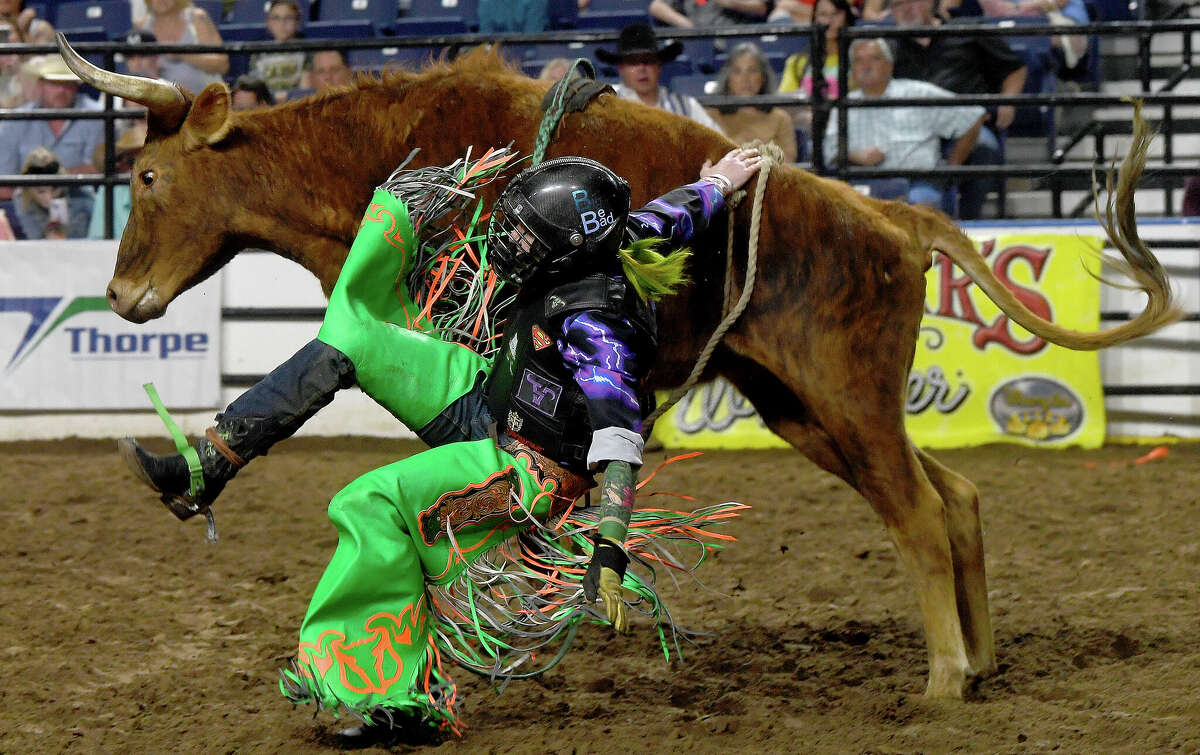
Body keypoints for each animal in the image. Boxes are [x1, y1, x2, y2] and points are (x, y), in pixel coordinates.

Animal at [58, 33, 1180, 696]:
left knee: (917, 510)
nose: (121, 296)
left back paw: (947, 677)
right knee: (955, 495)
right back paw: (981, 657)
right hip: (808, 406)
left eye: (146, 175)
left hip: (847, 396)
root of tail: (888, 216)